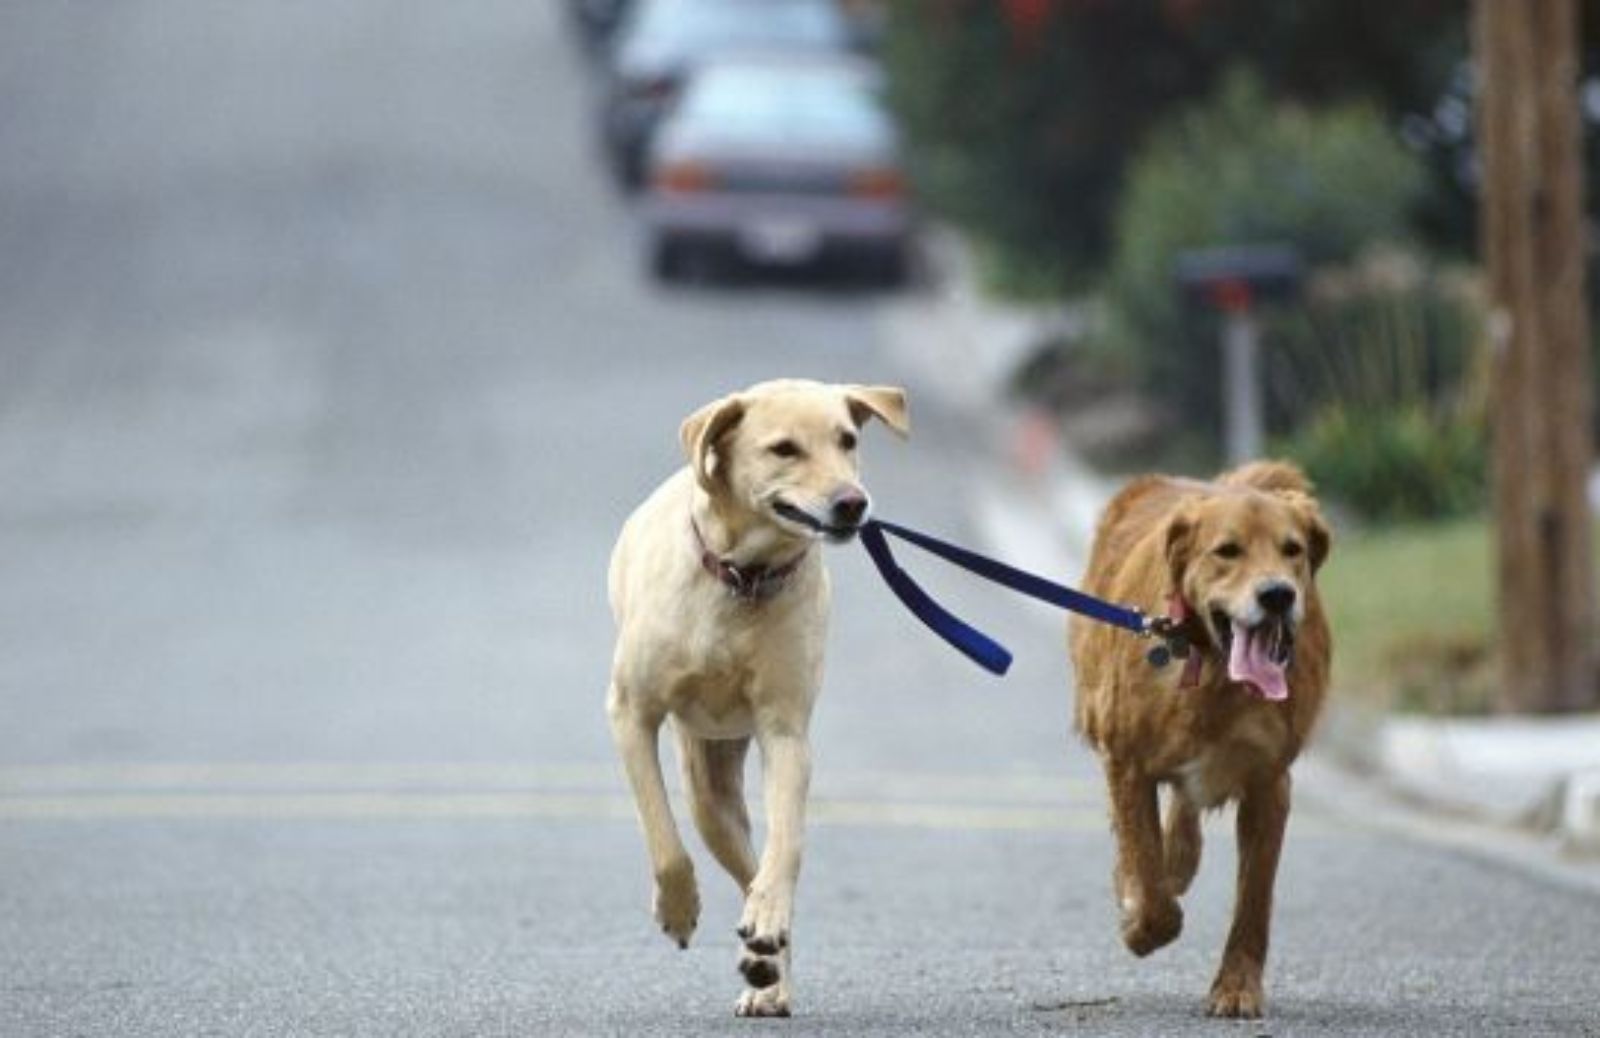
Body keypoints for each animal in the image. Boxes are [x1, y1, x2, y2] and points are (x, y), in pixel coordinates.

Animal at [1068, 460, 1331, 1010]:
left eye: (1292, 549)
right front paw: (1141, 923)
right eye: (1227, 550)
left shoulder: (1269, 783)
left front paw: (1237, 986)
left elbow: (1254, 899)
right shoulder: (1126, 761)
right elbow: (1147, 874)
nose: (1278, 595)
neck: (1215, 673)